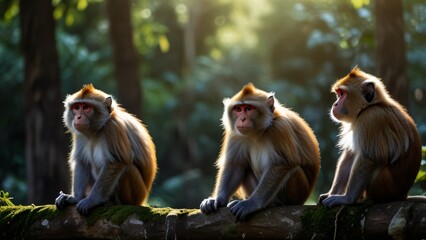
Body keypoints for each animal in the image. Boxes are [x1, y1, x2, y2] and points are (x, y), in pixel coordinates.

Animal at [55, 84, 156, 216]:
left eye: (86, 107)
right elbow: (83, 162)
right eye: (76, 107)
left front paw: (93, 200)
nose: (78, 117)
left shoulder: (113, 128)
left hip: (136, 193)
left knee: (128, 167)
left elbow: (117, 162)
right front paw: (75, 198)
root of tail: (142, 200)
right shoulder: (80, 135)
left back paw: (112, 202)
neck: (99, 129)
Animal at [201, 83, 322, 221]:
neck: (259, 132)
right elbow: (235, 166)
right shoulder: (235, 134)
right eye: (238, 109)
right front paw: (217, 199)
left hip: (297, 192)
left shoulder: (279, 128)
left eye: (248, 108)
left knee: (293, 168)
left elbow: (282, 164)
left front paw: (252, 203)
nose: (242, 119)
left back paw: (274, 203)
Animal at [320, 67, 422, 206]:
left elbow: (369, 157)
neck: (370, 106)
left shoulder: (370, 118)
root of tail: (402, 196)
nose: (335, 104)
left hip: (385, 188)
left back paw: (364, 199)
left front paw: (347, 198)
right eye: (338, 94)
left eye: (342, 94)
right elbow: (350, 155)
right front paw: (331, 193)